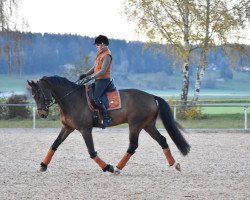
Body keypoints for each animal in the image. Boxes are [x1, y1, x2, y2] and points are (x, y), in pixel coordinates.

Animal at [27, 76, 190, 174]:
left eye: (39, 95)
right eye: (33, 96)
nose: (42, 114)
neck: (72, 99)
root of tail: (151, 96)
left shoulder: (85, 129)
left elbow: (92, 152)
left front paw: (107, 167)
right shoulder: (67, 128)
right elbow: (54, 145)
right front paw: (43, 165)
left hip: (135, 125)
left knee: (133, 146)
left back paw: (117, 168)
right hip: (148, 125)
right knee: (162, 140)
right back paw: (174, 164)